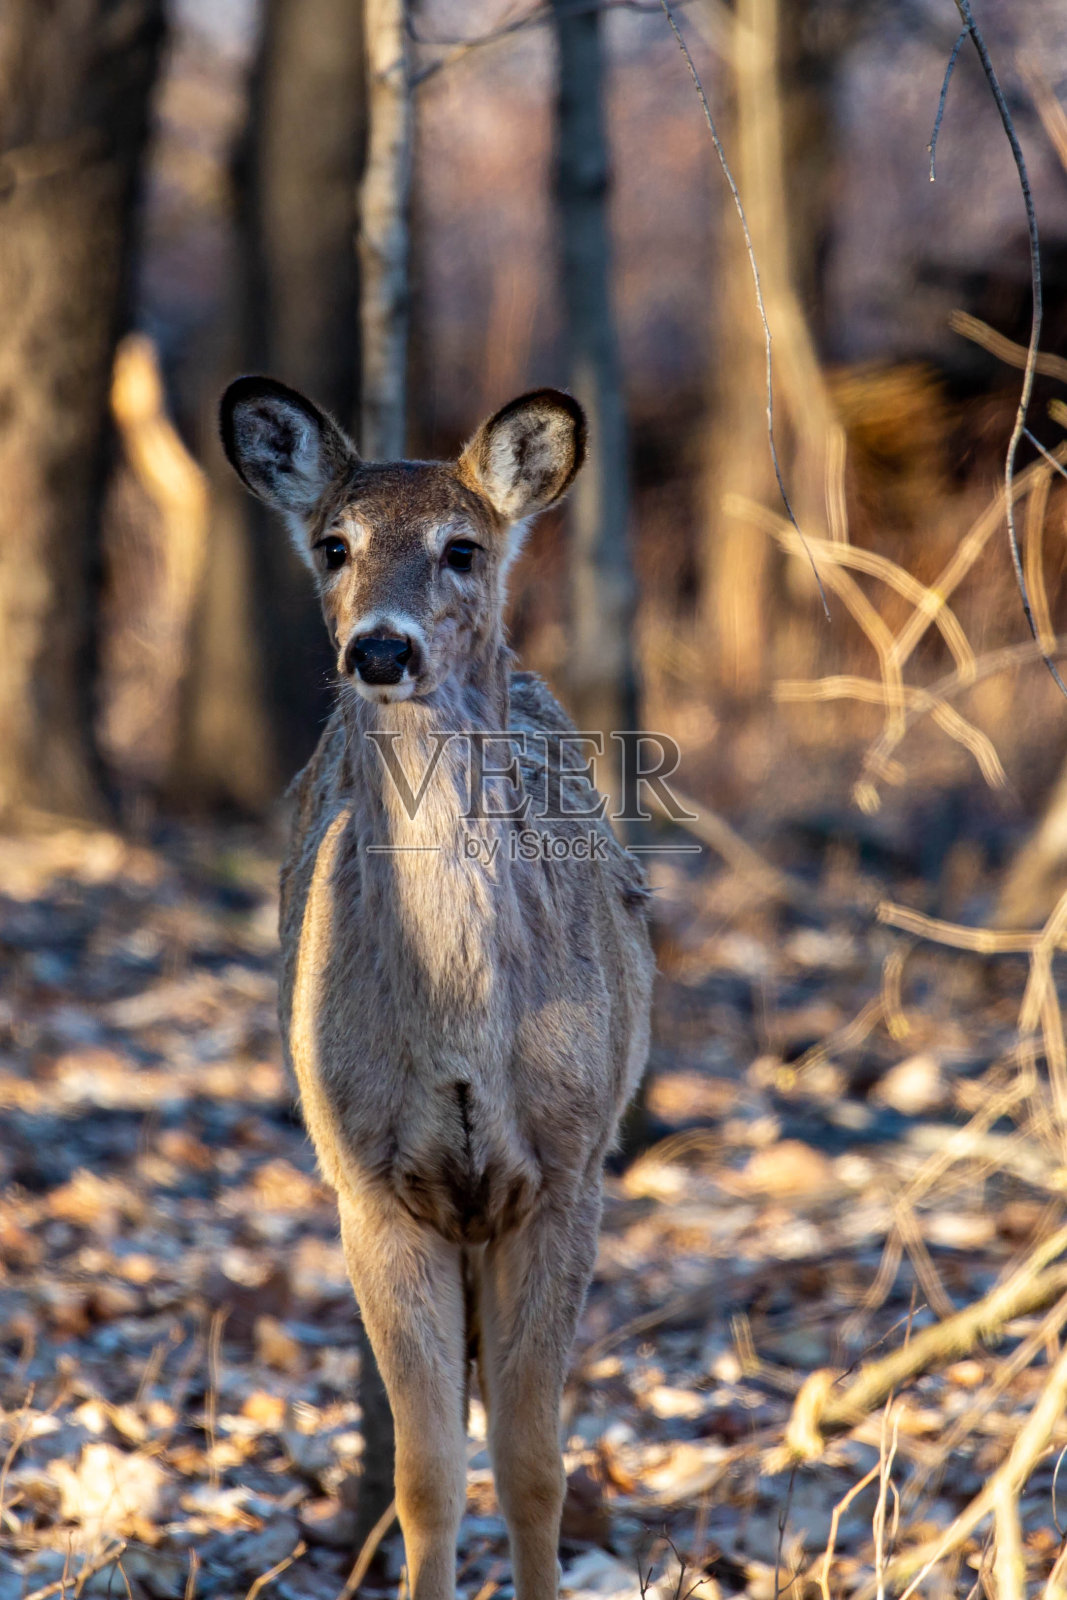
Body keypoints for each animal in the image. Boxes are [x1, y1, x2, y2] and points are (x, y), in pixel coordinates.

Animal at [220, 375, 654, 1600]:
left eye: (461, 548)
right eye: (334, 545)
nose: (378, 647)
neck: (461, 1027)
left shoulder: (567, 1167)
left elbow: (532, 1466)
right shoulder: (367, 1179)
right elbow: (427, 1477)